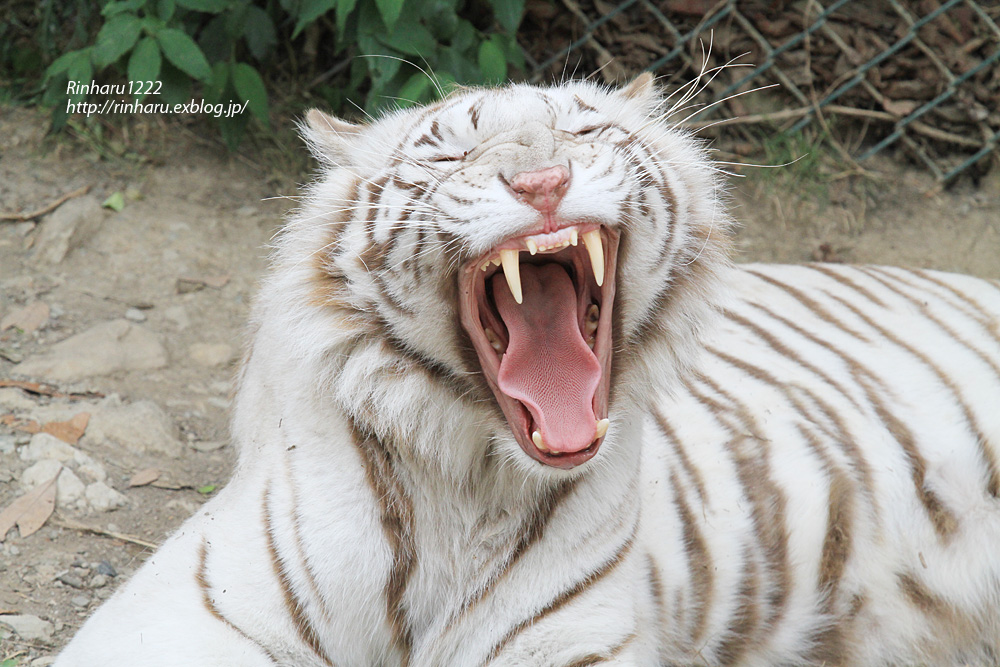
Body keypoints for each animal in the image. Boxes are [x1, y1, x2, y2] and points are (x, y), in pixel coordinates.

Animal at [54, 75, 1000, 664]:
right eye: (446, 156)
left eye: (583, 130)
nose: (543, 179)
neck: (465, 485)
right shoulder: (184, 608)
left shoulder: (567, 637)